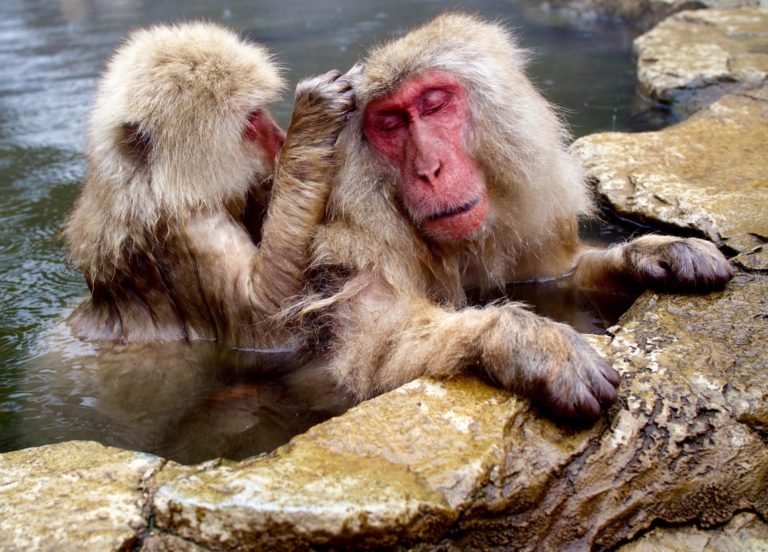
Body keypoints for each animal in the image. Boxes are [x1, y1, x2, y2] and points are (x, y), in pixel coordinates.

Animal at [62, 22, 354, 349]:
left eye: (260, 111)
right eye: (252, 119)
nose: (281, 139)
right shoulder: (188, 234)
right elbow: (268, 317)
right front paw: (314, 119)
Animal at [290, 13, 734, 421]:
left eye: (434, 104)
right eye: (390, 124)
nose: (429, 169)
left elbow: (563, 274)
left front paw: (653, 251)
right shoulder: (361, 234)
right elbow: (374, 354)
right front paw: (528, 341)